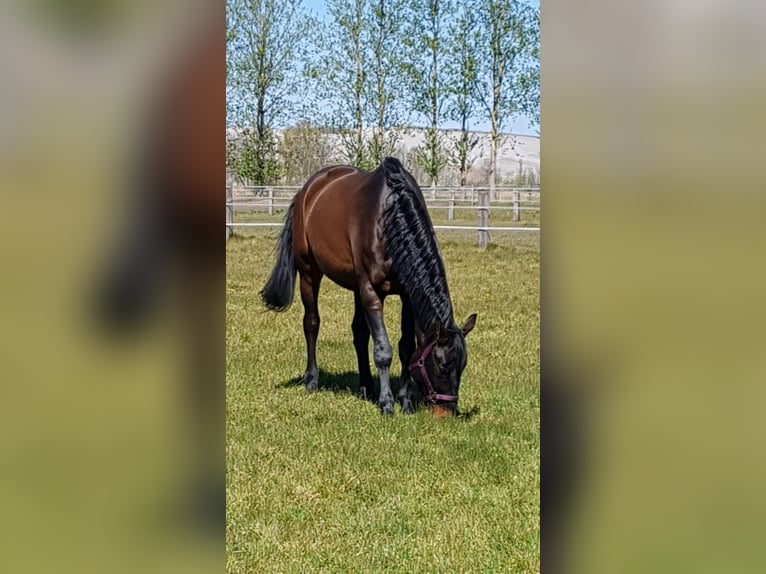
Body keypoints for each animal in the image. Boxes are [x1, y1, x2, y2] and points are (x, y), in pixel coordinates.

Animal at [260, 158, 476, 418]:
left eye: (463, 366)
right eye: (442, 366)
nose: (446, 413)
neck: (390, 218)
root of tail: (307, 191)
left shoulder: (406, 296)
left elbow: (406, 348)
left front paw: (405, 402)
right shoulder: (372, 291)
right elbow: (383, 350)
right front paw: (387, 404)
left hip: (355, 285)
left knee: (359, 332)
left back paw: (365, 387)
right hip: (309, 272)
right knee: (311, 323)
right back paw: (312, 380)